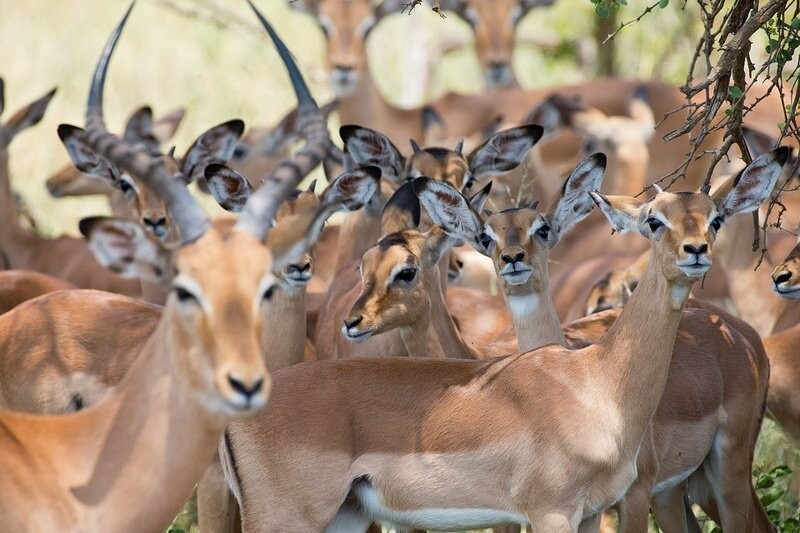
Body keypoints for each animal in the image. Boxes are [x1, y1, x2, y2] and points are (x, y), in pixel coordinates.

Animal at [219, 129, 780, 532]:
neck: (594, 380)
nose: (695, 252)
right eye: (654, 220)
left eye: (714, 218)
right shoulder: (553, 514)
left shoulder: (595, 511)